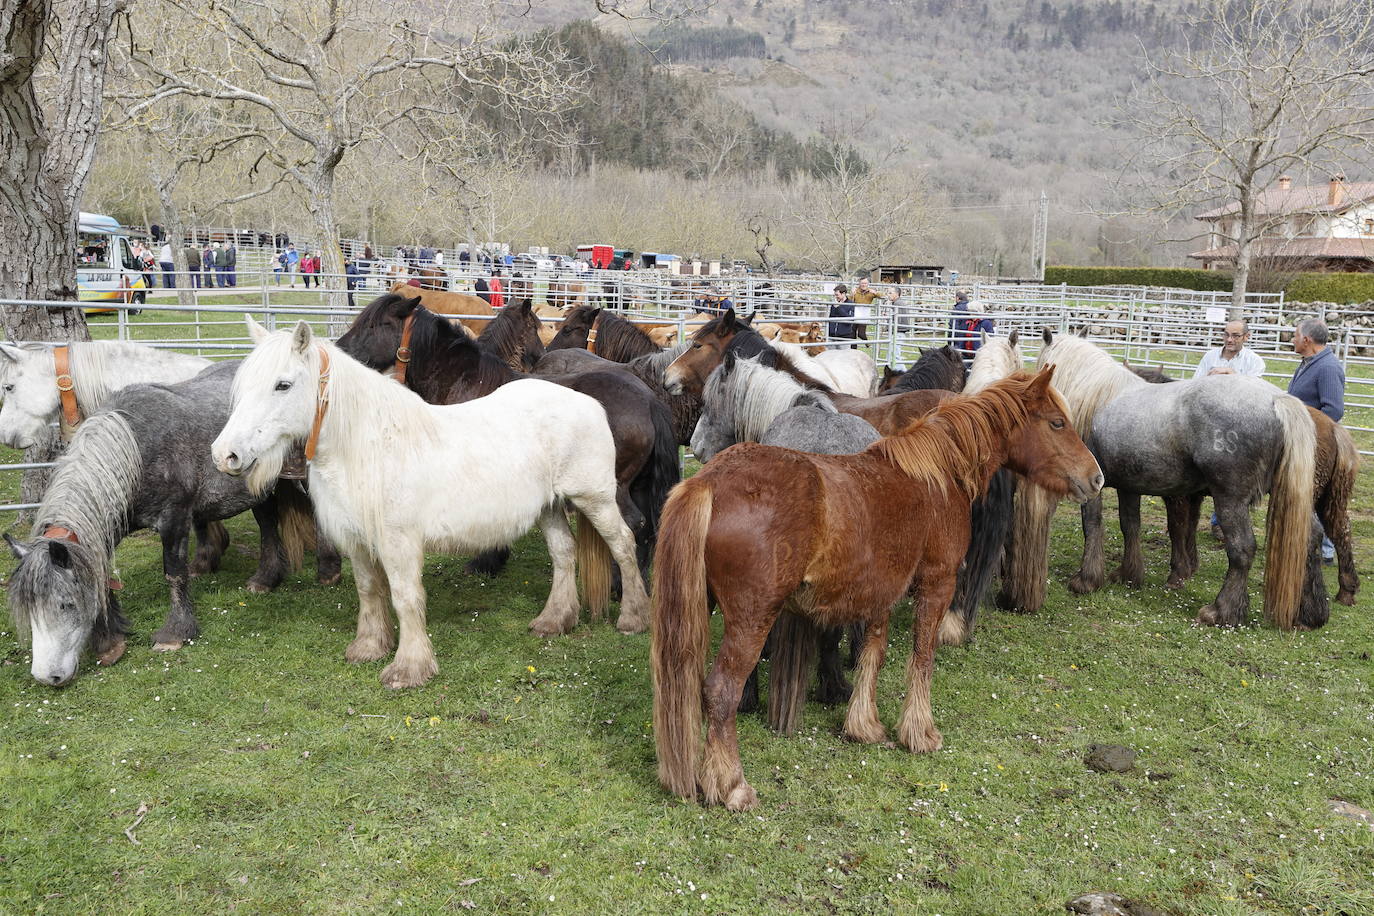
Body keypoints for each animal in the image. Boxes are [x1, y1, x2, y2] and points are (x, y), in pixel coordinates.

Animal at [6, 362, 311, 683]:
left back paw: (267, 579)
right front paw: (110, 642)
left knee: (268, 525)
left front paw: (175, 632)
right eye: (28, 610)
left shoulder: (173, 520)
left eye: (66, 604)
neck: (134, 451)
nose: (46, 677)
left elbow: (174, 574)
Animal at [211, 321, 651, 686]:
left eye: (282, 385)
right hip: (550, 508)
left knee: (624, 545)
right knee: (564, 554)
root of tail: (587, 403)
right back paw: (554, 620)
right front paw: (369, 647)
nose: (225, 454)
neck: (368, 445)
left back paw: (633, 616)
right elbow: (369, 590)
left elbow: (406, 597)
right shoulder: (357, 539)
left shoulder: (399, 542)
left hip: (595, 498)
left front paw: (409, 668)